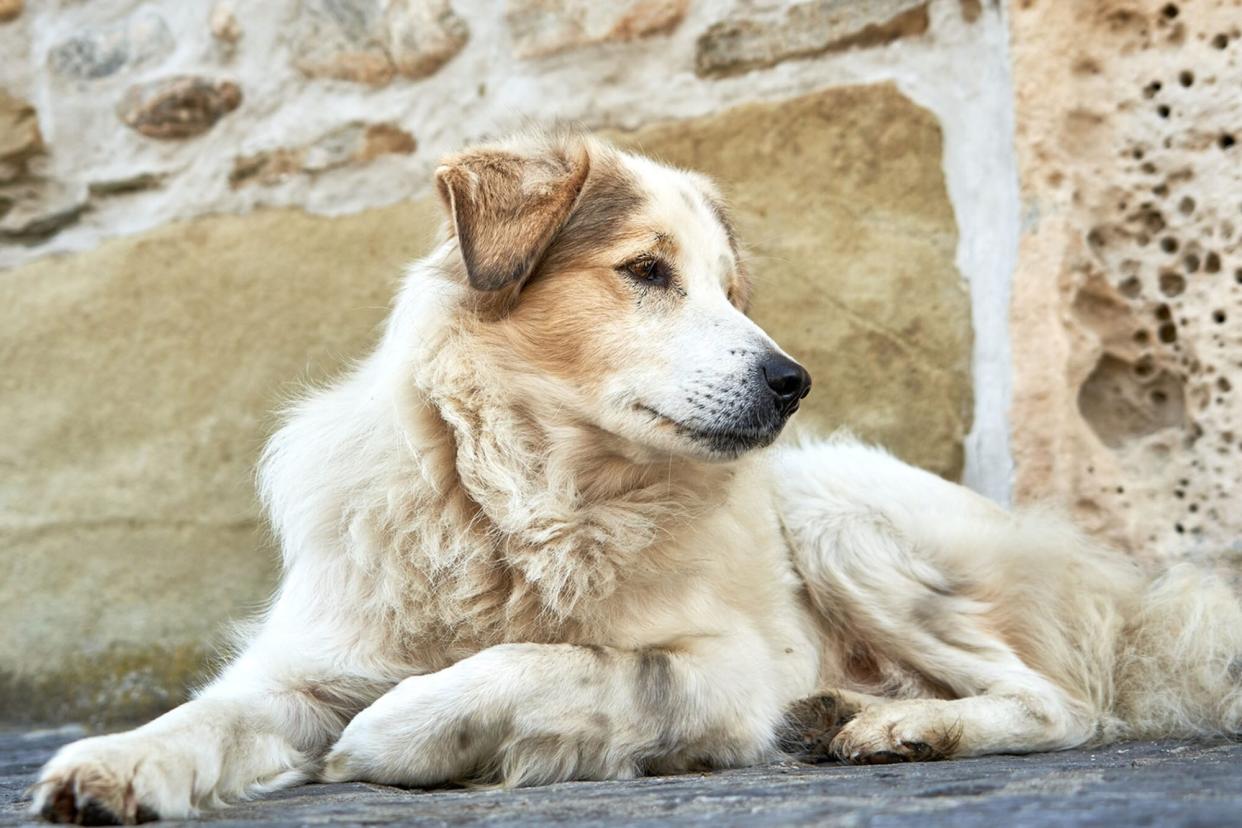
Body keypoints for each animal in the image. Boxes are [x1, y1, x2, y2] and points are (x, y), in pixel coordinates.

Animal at [29, 127, 1242, 824]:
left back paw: (903, 728)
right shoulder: (305, 665)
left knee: (1063, 706)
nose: (794, 381)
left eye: (733, 293)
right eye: (649, 273)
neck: (523, 507)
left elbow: (557, 662)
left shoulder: (728, 669)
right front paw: (115, 767)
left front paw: (396, 735)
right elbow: (207, 716)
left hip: (837, 506)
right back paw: (854, 713)